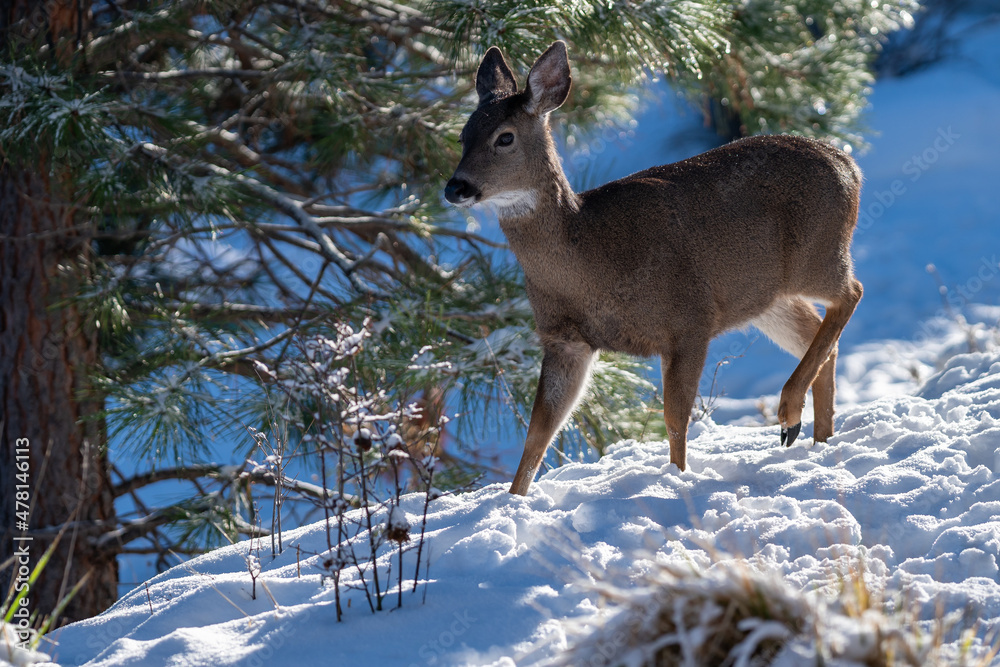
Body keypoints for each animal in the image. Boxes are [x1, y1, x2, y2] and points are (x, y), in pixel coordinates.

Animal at [445, 41, 863, 496]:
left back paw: (789, 412)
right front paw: (514, 500)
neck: (587, 258)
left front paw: (677, 480)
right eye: (463, 134)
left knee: (851, 293)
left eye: (504, 137)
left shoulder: (689, 319)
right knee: (819, 334)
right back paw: (817, 438)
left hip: (817, 253)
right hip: (765, 296)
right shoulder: (565, 339)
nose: (455, 187)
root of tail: (849, 165)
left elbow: (674, 418)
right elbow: (538, 433)